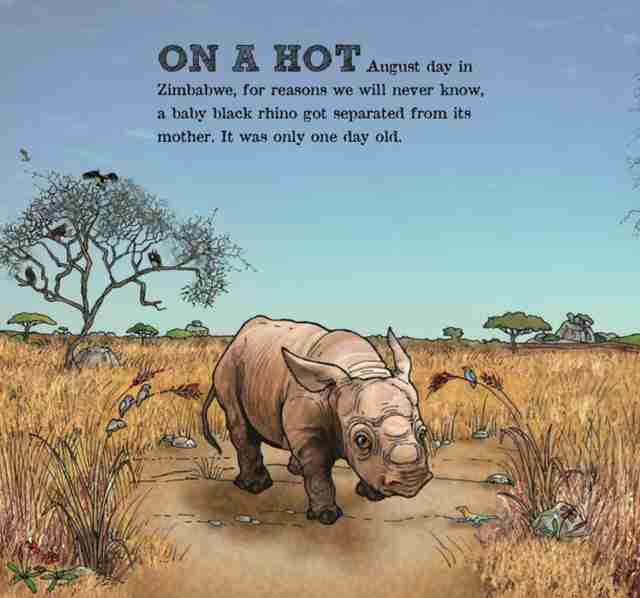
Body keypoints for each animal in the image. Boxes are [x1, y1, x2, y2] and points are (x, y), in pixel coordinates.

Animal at [201, 315, 433, 525]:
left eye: (423, 432)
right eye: (361, 440)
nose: (413, 480)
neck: (362, 369)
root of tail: (236, 339)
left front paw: (373, 495)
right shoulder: (309, 430)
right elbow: (317, 468)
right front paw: (327, 516)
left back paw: (293, 470)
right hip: (229, 368)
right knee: (241, 425)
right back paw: (256, 487)